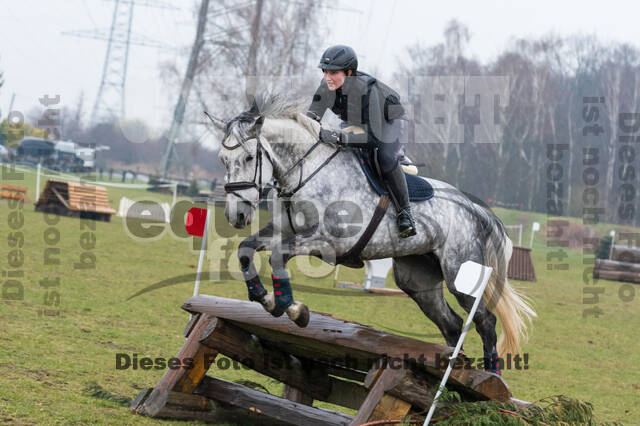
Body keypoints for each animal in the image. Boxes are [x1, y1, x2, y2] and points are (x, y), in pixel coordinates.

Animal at [210, 94, 536, 372]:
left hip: (459, 273)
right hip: (417, 280)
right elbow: (245, 250)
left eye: (249, 158)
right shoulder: (280, 231)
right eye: (223, 160)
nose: (236, 215)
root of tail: (476, 209)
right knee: (452, 325)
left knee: (485, 321)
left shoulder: (327, 242)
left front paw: (293, 310)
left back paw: (492, 376)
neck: (308, 172)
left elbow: (278, 257)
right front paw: (263, 297)